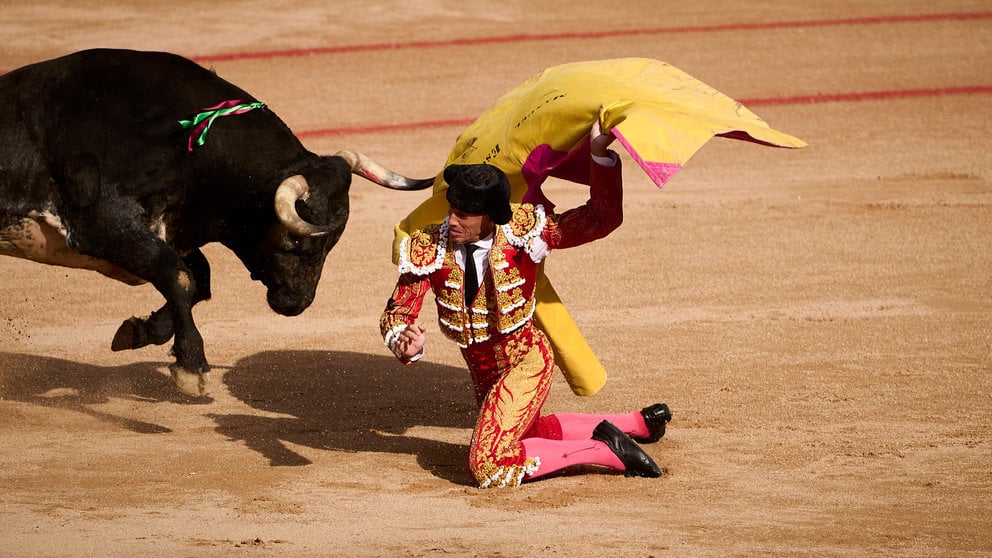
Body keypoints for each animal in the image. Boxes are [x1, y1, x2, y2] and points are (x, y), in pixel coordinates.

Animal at [0, 49, 434, 398]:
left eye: (333, 245)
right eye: (293, 243)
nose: (297, 304)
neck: (182, 145)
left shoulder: (168, 233)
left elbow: (199, 281)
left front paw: (140, 331)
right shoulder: (102, 224)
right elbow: (178, 276)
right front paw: (192, 367)